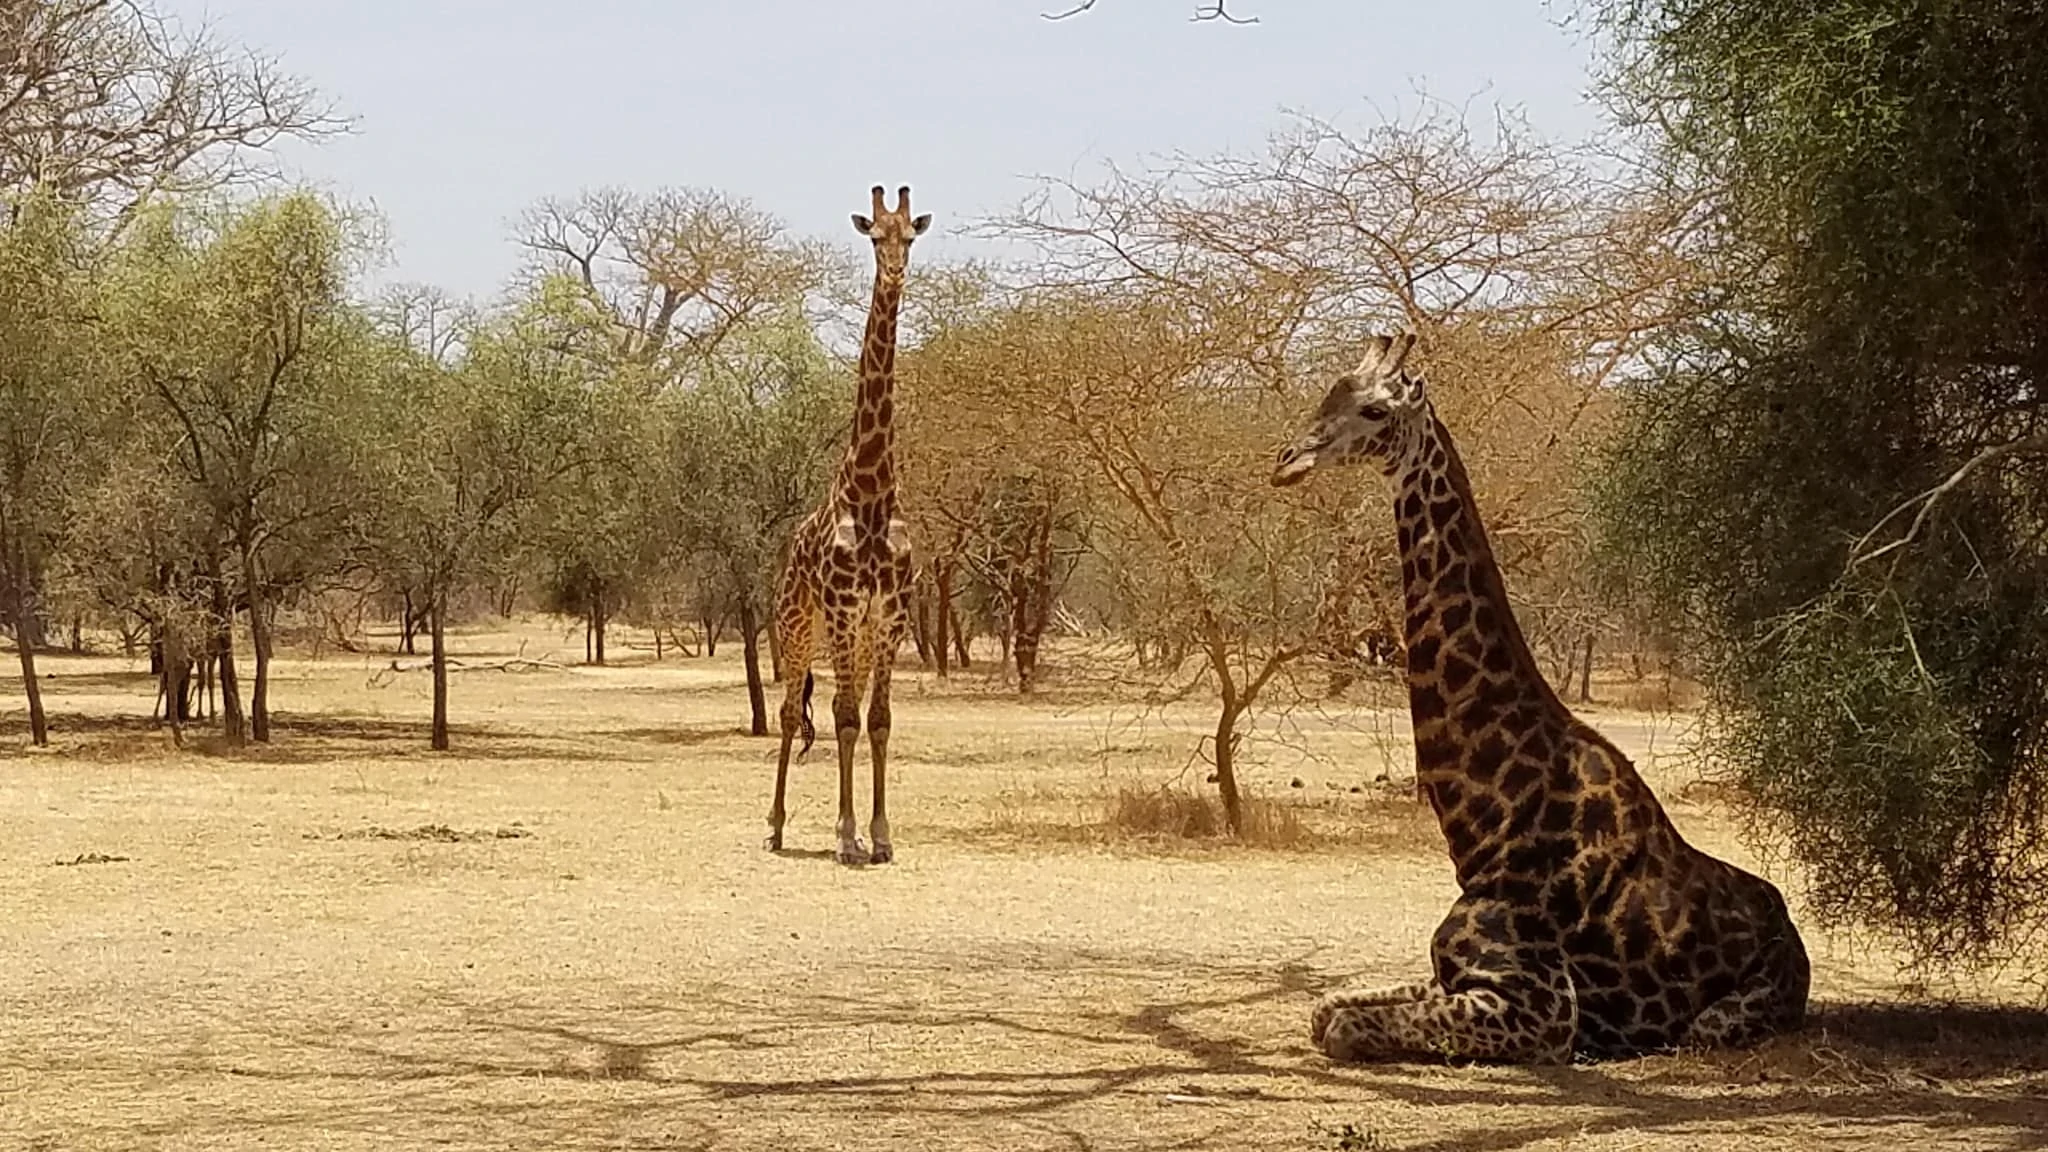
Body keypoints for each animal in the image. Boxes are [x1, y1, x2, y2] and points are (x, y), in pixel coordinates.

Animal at [1269, 330, 1818, 1057]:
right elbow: (1324, 1009)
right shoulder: (1449, 977)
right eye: (1329, 393)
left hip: (1715, 1023)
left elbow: (1341, 1027)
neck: (1484, 825)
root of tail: (1794, 935)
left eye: (1375, 412)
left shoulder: (1544, 1007)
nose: (1287, 461)